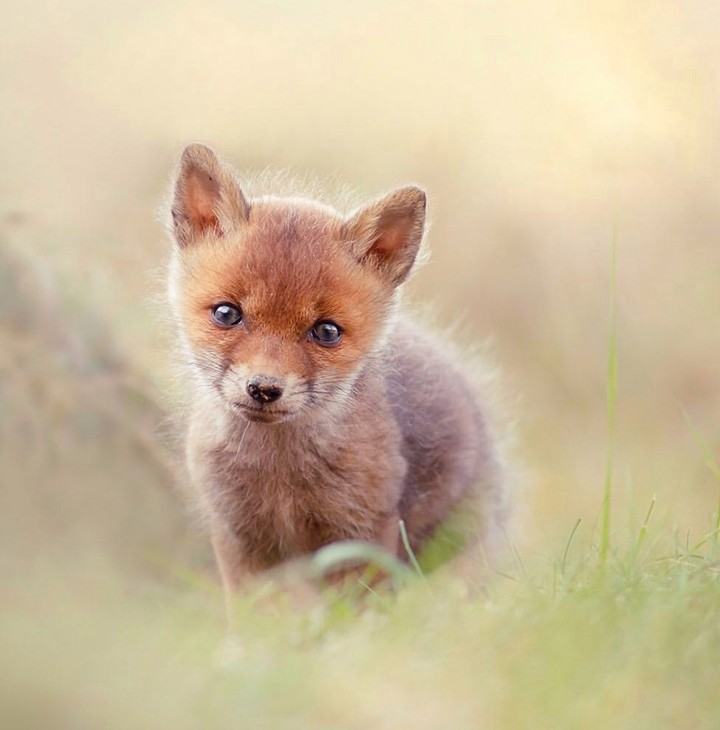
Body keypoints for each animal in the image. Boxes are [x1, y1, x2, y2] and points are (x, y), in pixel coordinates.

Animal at [166, 143, 508, 598]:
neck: (280, 474)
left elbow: (353, 612)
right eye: (226, 314)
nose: (264, 388)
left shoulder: (362, 532)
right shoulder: (238, 535)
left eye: (326, 331)